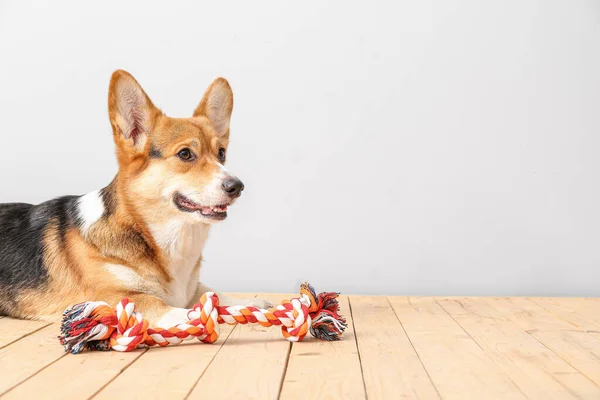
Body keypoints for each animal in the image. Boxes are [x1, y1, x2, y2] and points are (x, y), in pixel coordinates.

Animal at [0, 70, 272, 328]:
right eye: (185, 154)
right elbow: (159, 303)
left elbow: (214, 294)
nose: (237, 187)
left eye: (221, 153)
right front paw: (195, 316)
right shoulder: (108, 296)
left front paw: (251, 305)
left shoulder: (192, 287)